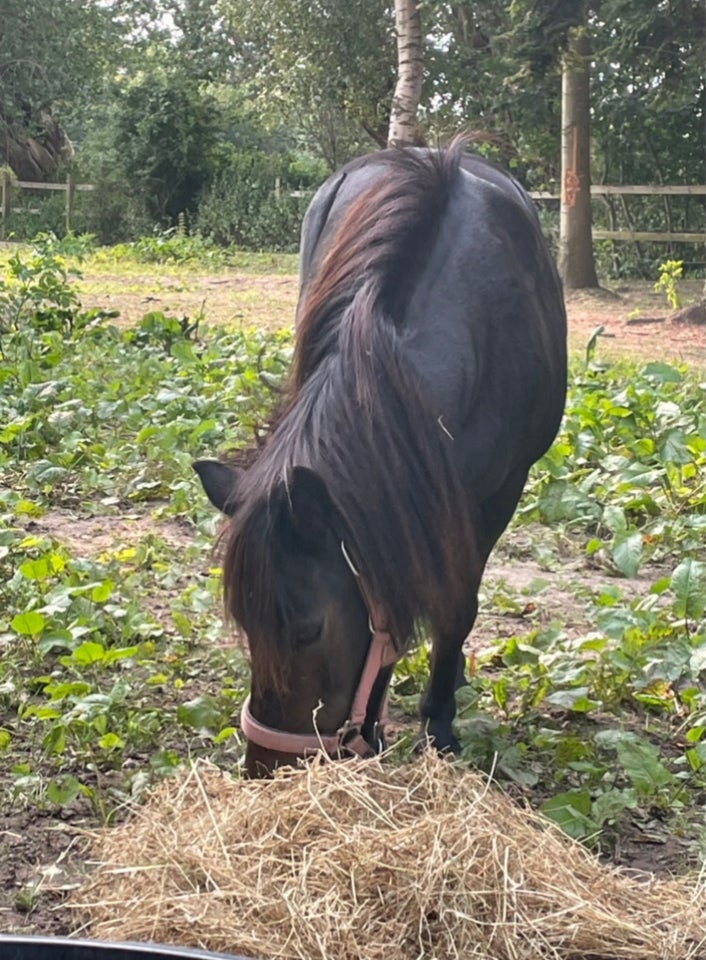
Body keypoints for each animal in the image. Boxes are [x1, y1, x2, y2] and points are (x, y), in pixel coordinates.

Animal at [192, 139, 568, 776]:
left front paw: (438, 724)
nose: (264, 769)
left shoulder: (498, 493)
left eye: (306, 631)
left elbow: (456, 604)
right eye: (242, 621)